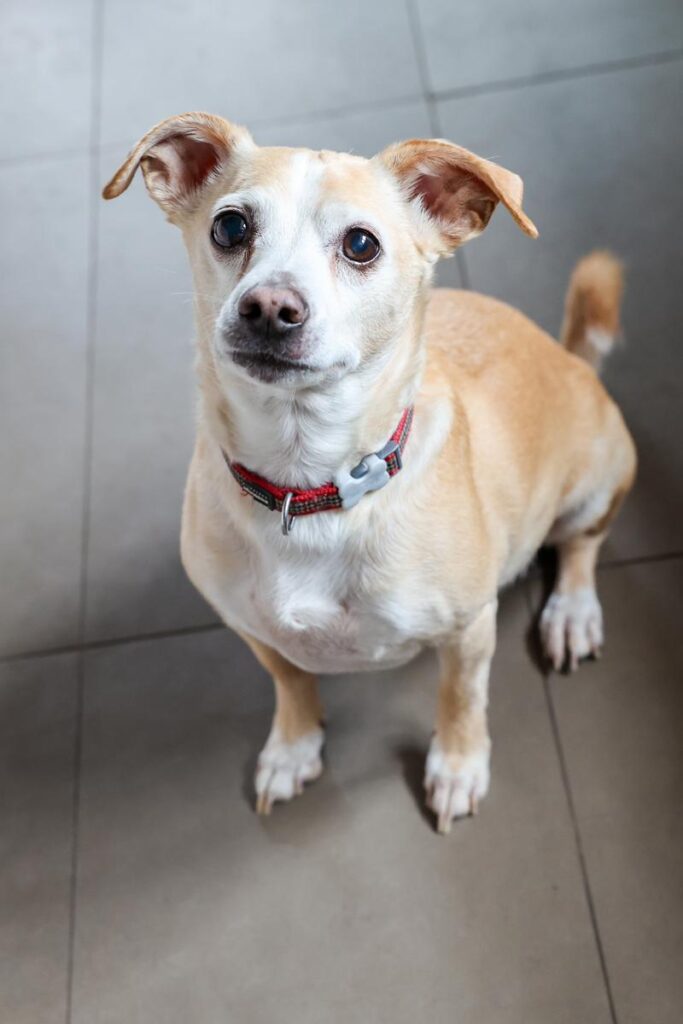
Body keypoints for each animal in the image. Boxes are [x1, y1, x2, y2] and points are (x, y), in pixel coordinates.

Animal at [104, 112, 638, 831]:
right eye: (230, 228)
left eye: (361, 244)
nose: (268, 306)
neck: (308, 486)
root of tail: (569, 356)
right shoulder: (251, 628)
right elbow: (290, 680)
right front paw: (294, 747)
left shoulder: (468, 631)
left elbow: (461, 698)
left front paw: (458, 767)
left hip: (598, 479)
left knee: (580, 546)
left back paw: (572, 613)